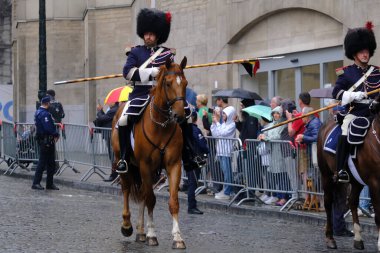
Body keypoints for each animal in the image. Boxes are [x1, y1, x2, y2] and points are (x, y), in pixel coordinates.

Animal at [110, 56, 188, 249]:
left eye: (185, 83)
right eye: (168, 83)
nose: (179, 116)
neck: (161, 125)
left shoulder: (173, 165)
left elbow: (173, 201)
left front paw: (177, 237)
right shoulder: (145, 164)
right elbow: (151, 199)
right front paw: (152, 234)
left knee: (143, 194)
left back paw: (140, 232)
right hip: (125, 164)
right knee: (126, 190)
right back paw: (127, 225)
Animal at [316, 99, 380, 251]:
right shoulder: (375, 183)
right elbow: (379, 213)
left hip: (357, 180)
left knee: (352, 202)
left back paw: (358, 239)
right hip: (326, 175)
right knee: (328, 203)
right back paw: (330, 239)